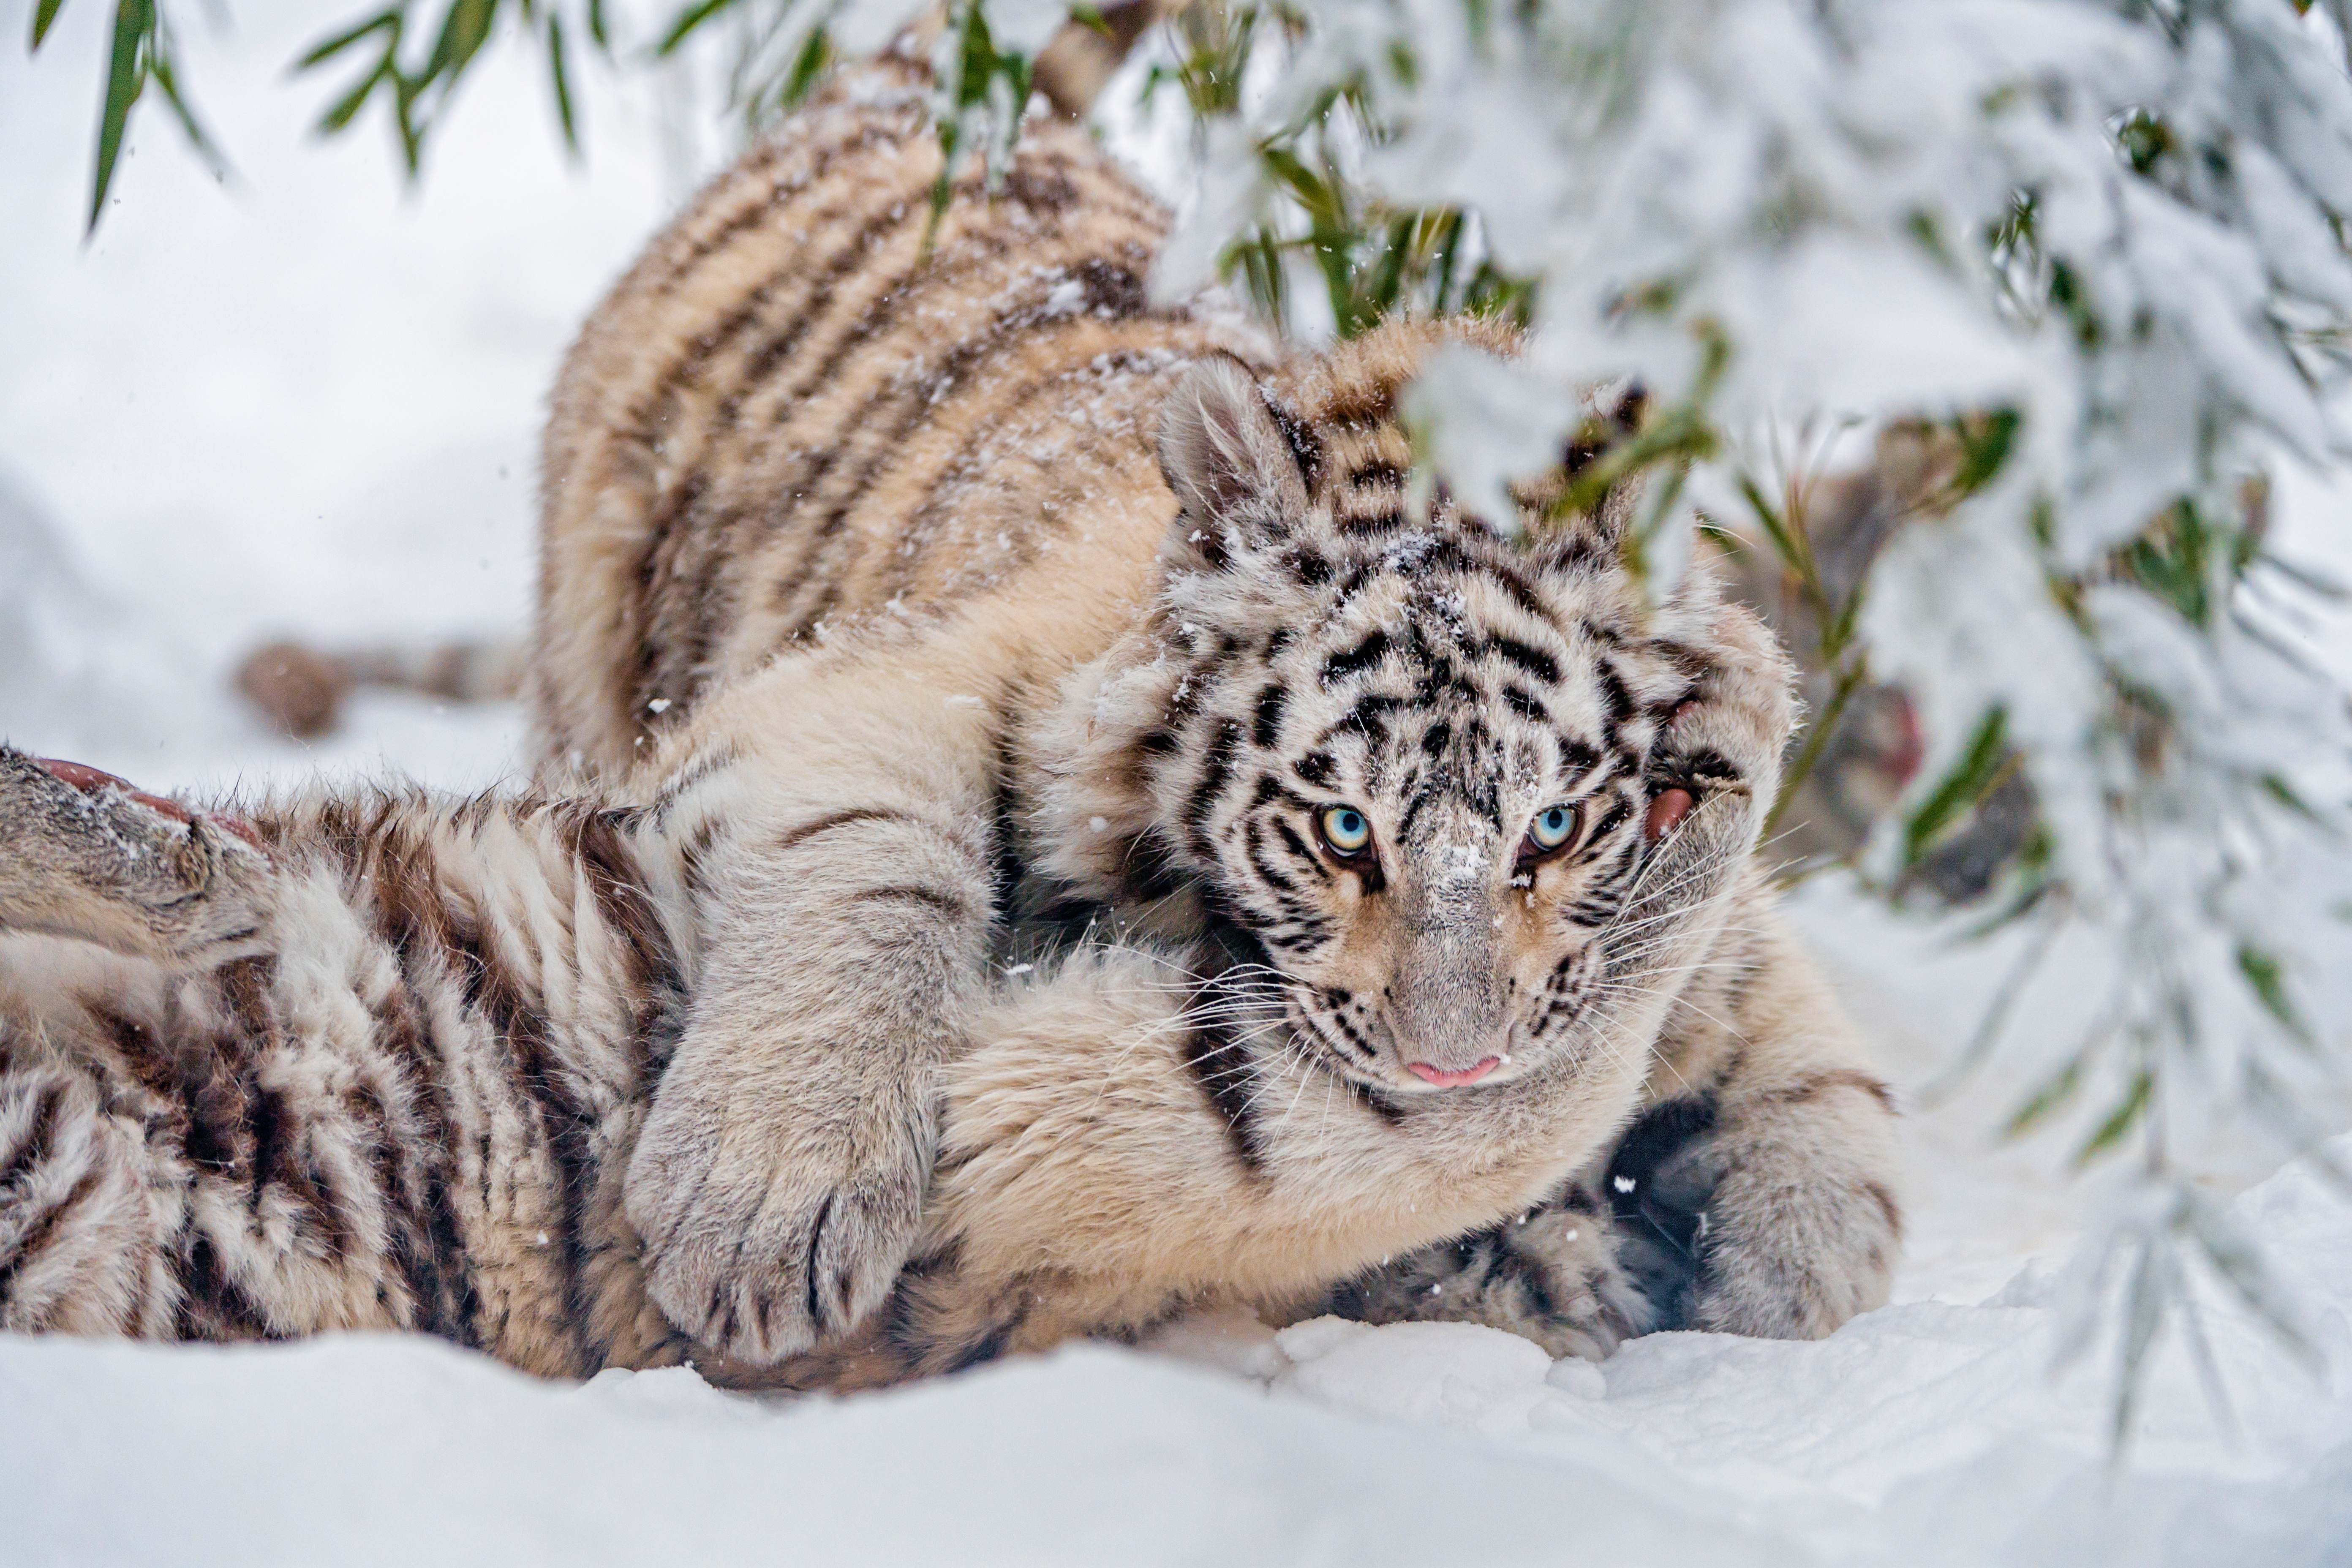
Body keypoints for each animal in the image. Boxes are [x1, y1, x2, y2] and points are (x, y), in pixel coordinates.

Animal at [0, 80, 1900, 1391]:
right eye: (1341, 829)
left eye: (1554, 827)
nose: (1449, 1053)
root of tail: (906, 88)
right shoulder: (870, 695)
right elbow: (873, 873)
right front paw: (769, 1203)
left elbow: (1816, 1106)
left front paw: (1769, 1269)